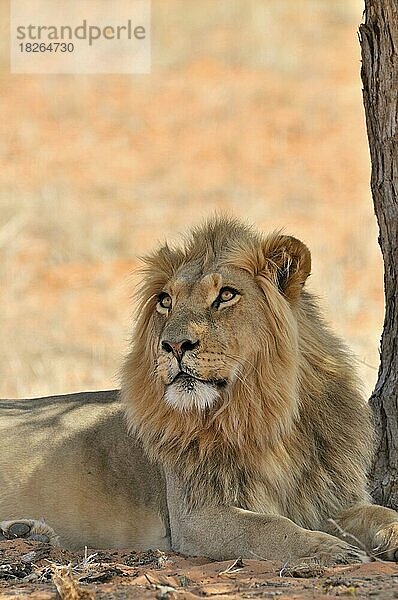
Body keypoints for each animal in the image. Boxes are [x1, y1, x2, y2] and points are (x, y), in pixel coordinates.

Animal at [0, 218, 398, 564]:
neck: (265, 415)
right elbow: (270, 527)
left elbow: (380, 512)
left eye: (226, 295)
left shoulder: (330, 498)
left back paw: (25, 531)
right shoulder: (196, 516)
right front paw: (328, 550)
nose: (174, 345)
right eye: (165, 301)